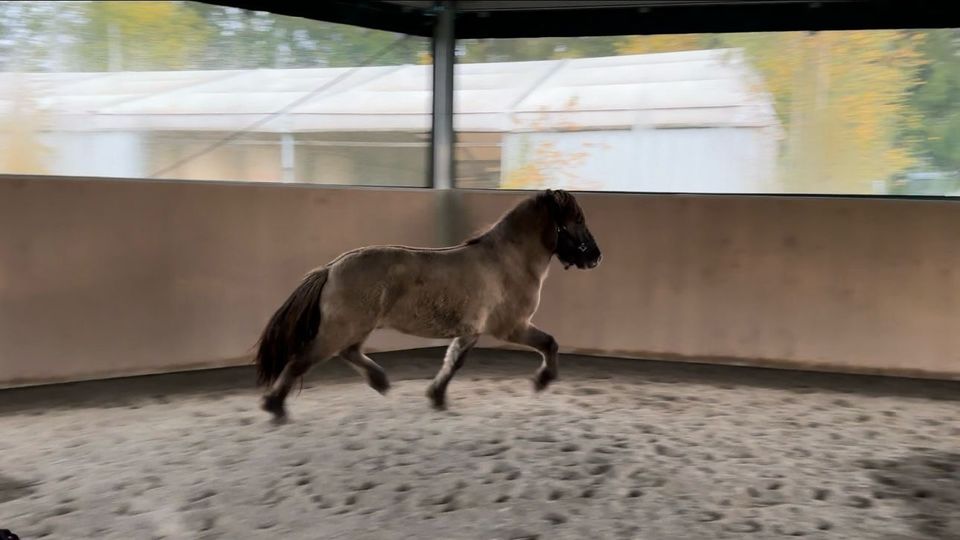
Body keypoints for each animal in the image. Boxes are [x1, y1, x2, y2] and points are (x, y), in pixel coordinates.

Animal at [253, 190, 600, 422]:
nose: (596, 257)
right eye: (577, 219)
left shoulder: (471, 331)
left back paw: (380, 382)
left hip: (355, 328)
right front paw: (542, 381)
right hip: (338, 330)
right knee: (301, 360)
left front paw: (437, 397)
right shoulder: (512, 327)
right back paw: (275, 407)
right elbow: (549, 343)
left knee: (349, 353)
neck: (507, 261)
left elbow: (453, 362)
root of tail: (331, 268)